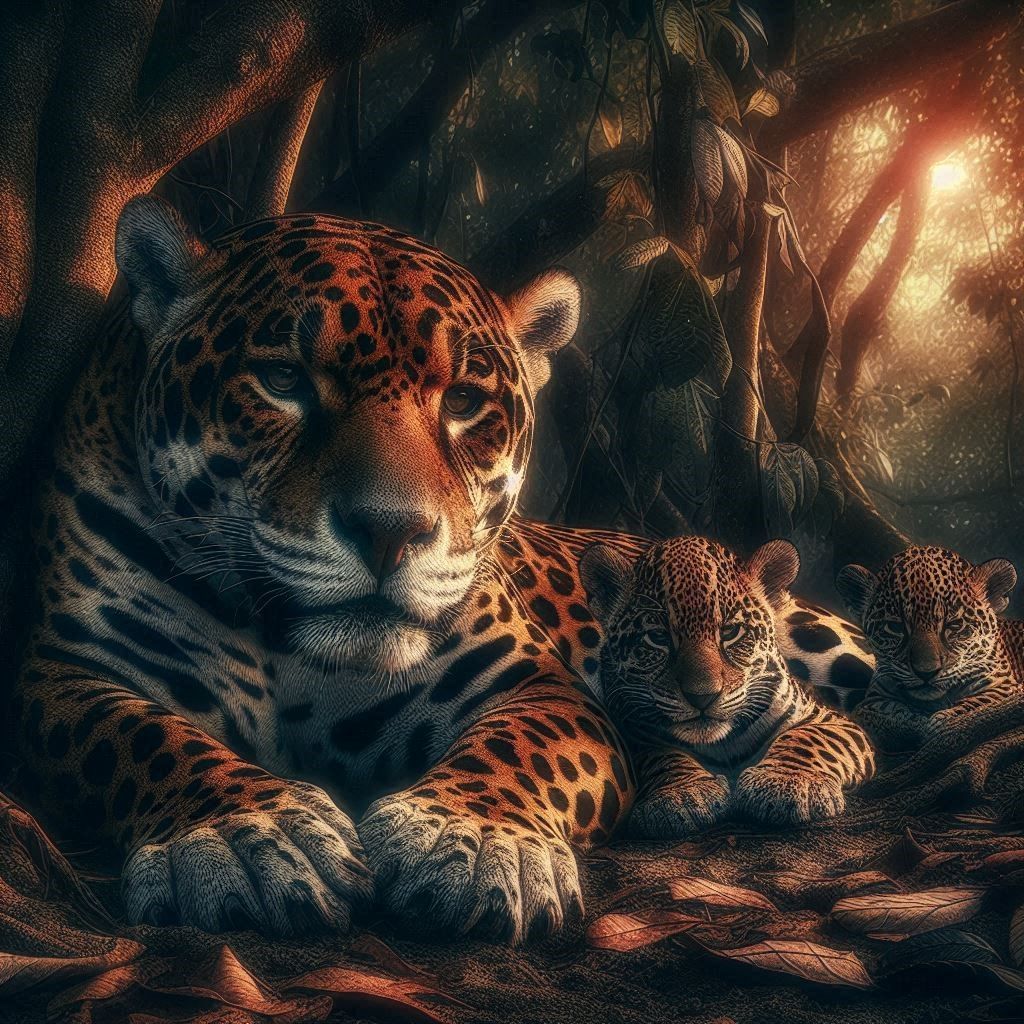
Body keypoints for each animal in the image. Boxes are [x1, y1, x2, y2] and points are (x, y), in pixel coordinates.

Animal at [579, 536, 876, 836]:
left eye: (731, 632)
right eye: (658, 637)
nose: (702, 697)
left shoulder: (831, 720)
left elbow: (806, 739)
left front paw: (787, 782)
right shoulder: (633, 732)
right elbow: (660, 757)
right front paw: (684, 795)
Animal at [837, 545, 1024, 749]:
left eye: (954, 625)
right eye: (895, 627)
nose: (926, 673)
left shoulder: (1003, 687)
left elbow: (972, 707)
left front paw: (937, 724)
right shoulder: (876, 696)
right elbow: (892, 713)